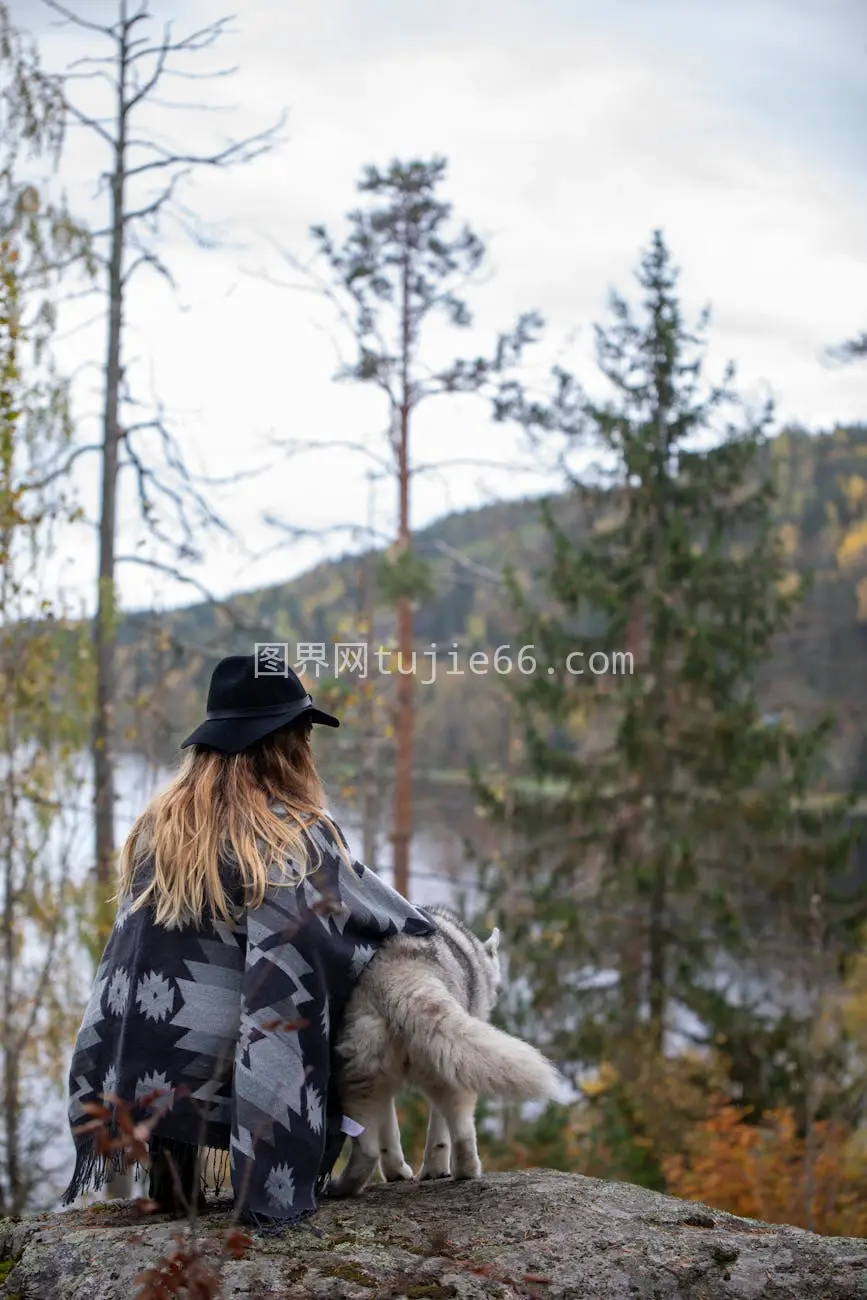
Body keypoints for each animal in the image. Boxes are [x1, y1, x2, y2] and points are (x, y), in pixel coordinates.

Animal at [328, 904, 566, 1196]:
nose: (498, 993)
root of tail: (396, 974)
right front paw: (435, 1170)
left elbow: (390, 1127)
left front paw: (397, 1173)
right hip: (444, 1059)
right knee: (460, 1127)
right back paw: (464, 1171)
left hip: (359, 1076)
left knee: (369, 1147)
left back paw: (344, 1187)